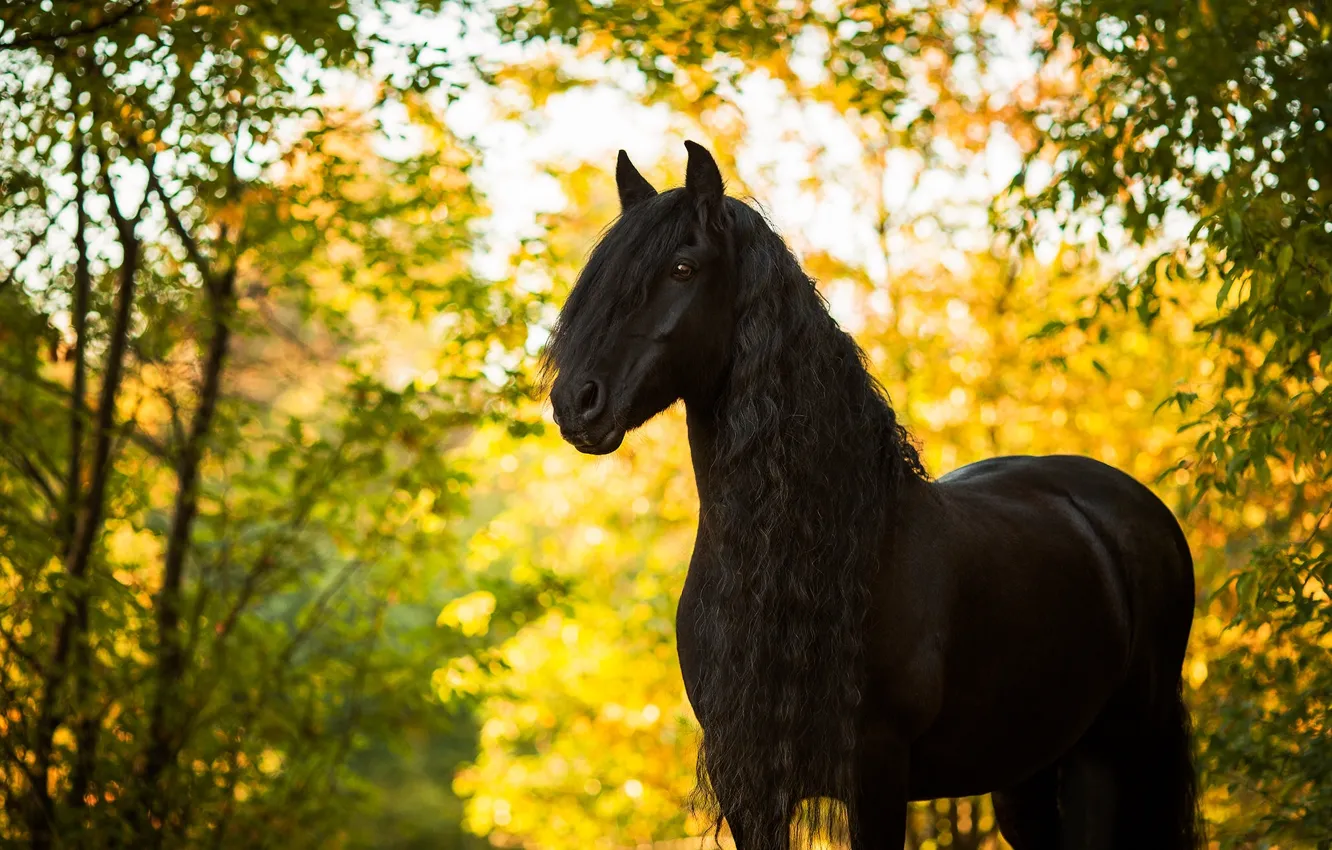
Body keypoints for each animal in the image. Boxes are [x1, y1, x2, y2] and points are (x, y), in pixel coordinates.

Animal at [542, 140, 1202, 850]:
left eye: (683, 268)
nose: (577, 402)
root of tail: (1134, 510)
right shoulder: (748, 786)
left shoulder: (877, 773)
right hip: (1025, 774)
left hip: (1106, 757)